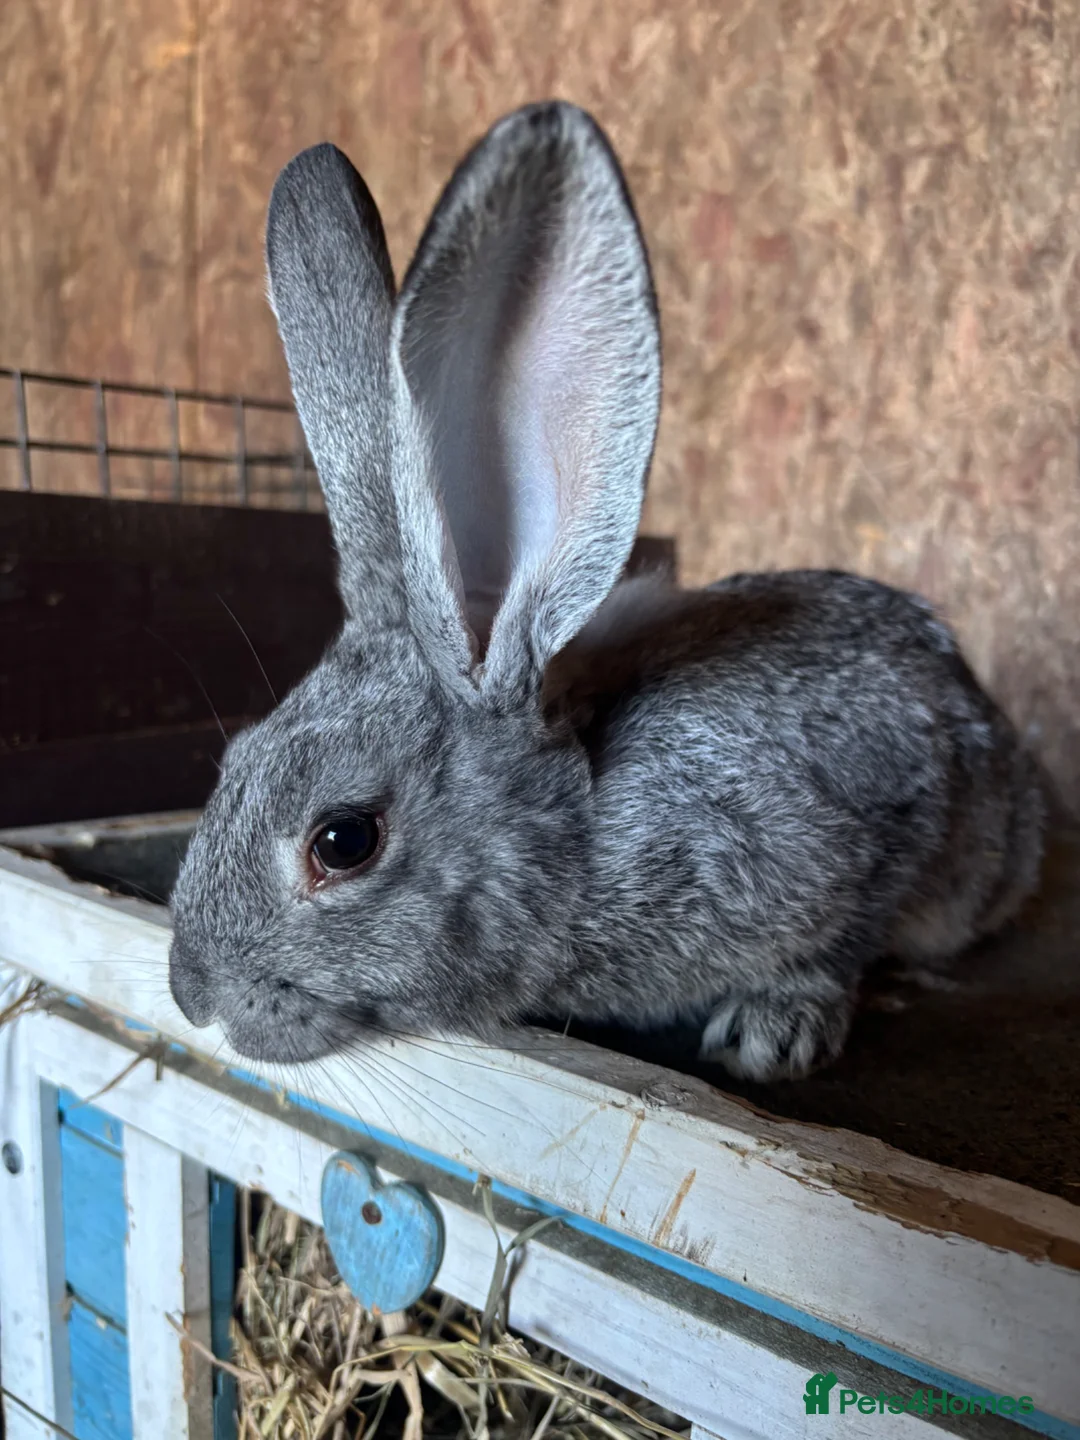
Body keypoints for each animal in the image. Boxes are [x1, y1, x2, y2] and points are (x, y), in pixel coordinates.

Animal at [168, 101, 1044, 1083]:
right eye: (232, 758)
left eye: (343, 842)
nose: (192, 995)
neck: (584, 824)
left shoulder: (868, 822)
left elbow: (842, 937)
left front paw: (773, 1032)